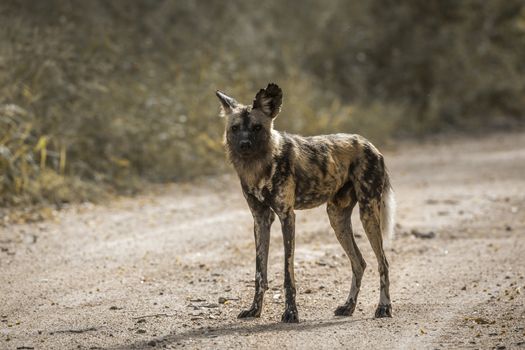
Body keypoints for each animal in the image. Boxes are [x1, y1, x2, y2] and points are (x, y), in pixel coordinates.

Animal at [214, 83, 392, 324]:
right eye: (235, 128)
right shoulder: (261, 219)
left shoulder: (287, 216)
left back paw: (384, 307)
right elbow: (260, 273)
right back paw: (348, 306)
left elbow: (288, 274)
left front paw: (290, 313)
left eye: (257, 127)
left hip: (368, 213)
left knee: (383, 263)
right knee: (359, 262)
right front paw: (254, 310)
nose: (244, 145)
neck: (260, 166)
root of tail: (369, 144)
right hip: (337, 217)